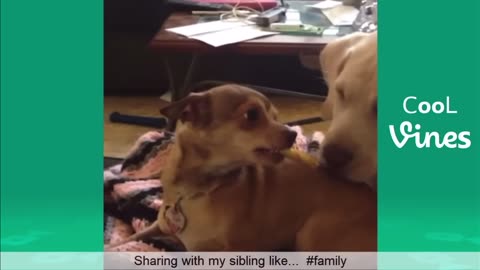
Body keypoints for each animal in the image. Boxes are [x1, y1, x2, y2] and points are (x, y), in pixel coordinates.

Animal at [107, 85, 376, 251]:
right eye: (252, 115)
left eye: (276, 116)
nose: (291, 134)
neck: (199, 189)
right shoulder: (158, 225)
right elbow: (126, 240)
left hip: (310, 234)